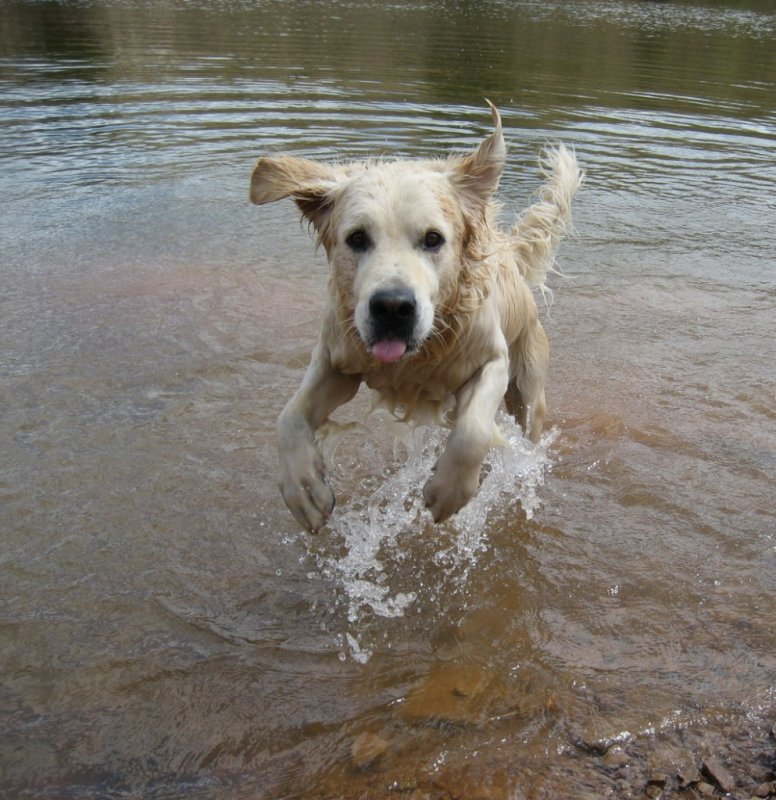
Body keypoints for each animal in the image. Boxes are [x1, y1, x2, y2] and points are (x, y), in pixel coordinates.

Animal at [250, 104, 584, 532]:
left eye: (433, 239)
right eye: (357, 238)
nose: (393, 307)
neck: (417, 357)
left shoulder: (492, 359)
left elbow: (472, 431)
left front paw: (448, 489)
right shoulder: (335, 361)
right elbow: (288, 417)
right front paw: (304, 489)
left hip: (528, 386)